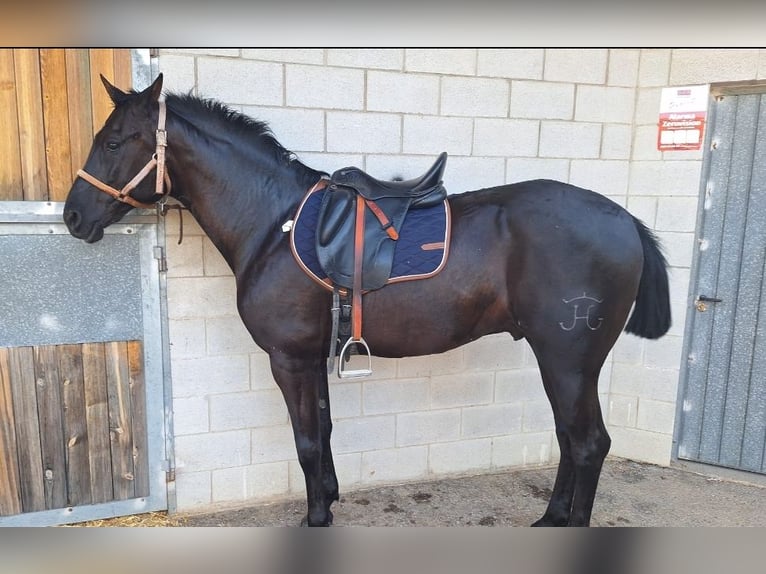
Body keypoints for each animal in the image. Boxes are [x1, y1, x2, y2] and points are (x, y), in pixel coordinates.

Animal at [63, 74, 671, 527]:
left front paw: (315, 518)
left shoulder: (289, 359)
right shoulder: (312, 358)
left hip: (567, 361)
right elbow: (324, 432)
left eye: (113, 142)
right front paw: (329, 499)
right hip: (567, 363)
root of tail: (625, 219)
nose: (72, 216)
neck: (274, 223)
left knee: (587, 443)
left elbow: (307, 441)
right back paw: (550, 517)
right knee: (570, 438)